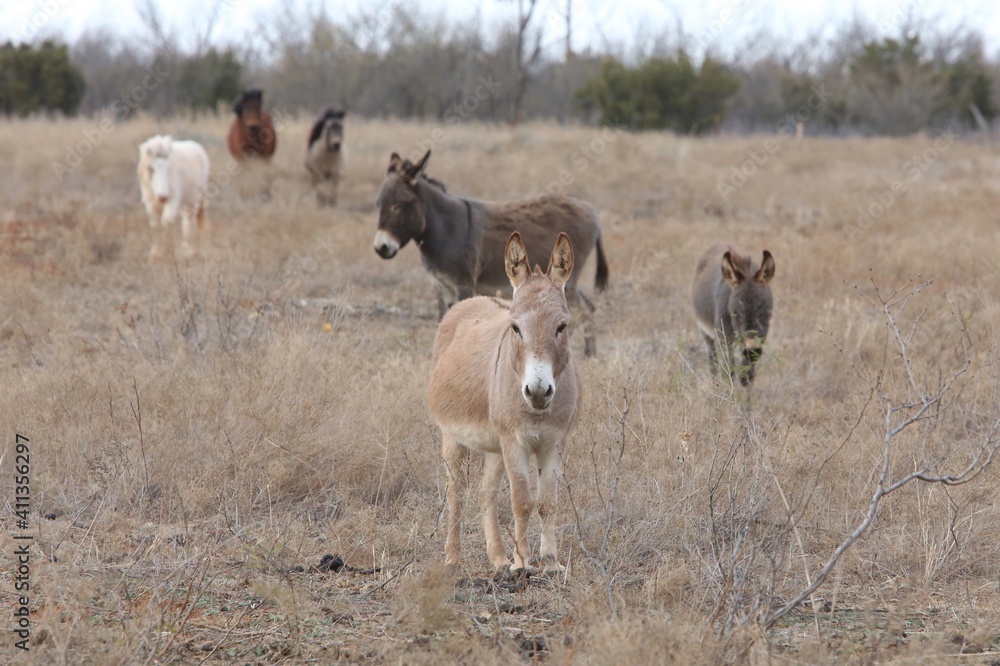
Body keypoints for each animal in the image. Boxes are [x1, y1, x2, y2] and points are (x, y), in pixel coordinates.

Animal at [373, 149, 609, 356]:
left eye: (399, 206)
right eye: (379, 205)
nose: (381, 248)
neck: (444, 229)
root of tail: (589, 208)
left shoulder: (464, 285)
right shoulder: (440, 285)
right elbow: (443, 319)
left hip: (567, 280)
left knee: (583, 310)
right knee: (589, 306)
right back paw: (589, 354)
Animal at [429, 232, 581, 573]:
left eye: (562, 327)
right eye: (515, 328)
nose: (538, 391)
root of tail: (469, 302)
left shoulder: (555, 441)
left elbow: (548, 502)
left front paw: (550, 562)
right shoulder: (515, 440)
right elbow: (522, 501)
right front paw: (522, 563)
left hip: (494, 445)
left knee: (485, 492)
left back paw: (497, 557)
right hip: (453, 437)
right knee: (456, 490)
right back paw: (453, 557)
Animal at [691, 243, 776, 385]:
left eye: (766, 312)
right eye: (735, 313)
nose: (752, 350)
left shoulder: (761, 337)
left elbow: (747, 375)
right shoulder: (724, 337)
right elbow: (728, 370)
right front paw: (727, 391)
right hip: (707, 333)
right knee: (713, 361)